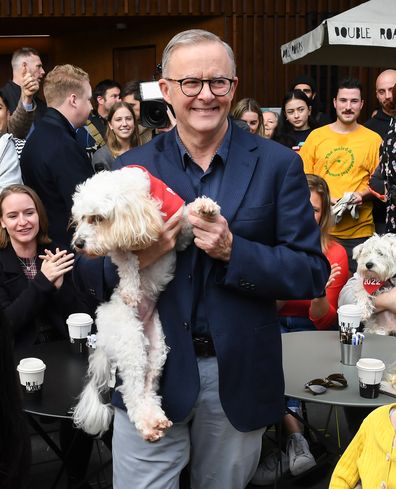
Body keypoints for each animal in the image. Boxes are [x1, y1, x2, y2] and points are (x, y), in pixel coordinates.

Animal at [71, 166, 220, 440]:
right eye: (83, 218)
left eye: (97, 218)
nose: (78, 243)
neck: (141, 201)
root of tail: (102, 338)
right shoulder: (120, 246)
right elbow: (127, 259)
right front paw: (130, 289)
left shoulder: (177, 232)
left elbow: (187, 218)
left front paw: (205, 207)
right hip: (130, 342)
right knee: (131, 391)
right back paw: (147, 424)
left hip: (157, 348)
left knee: (147, 387)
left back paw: (155, 418)